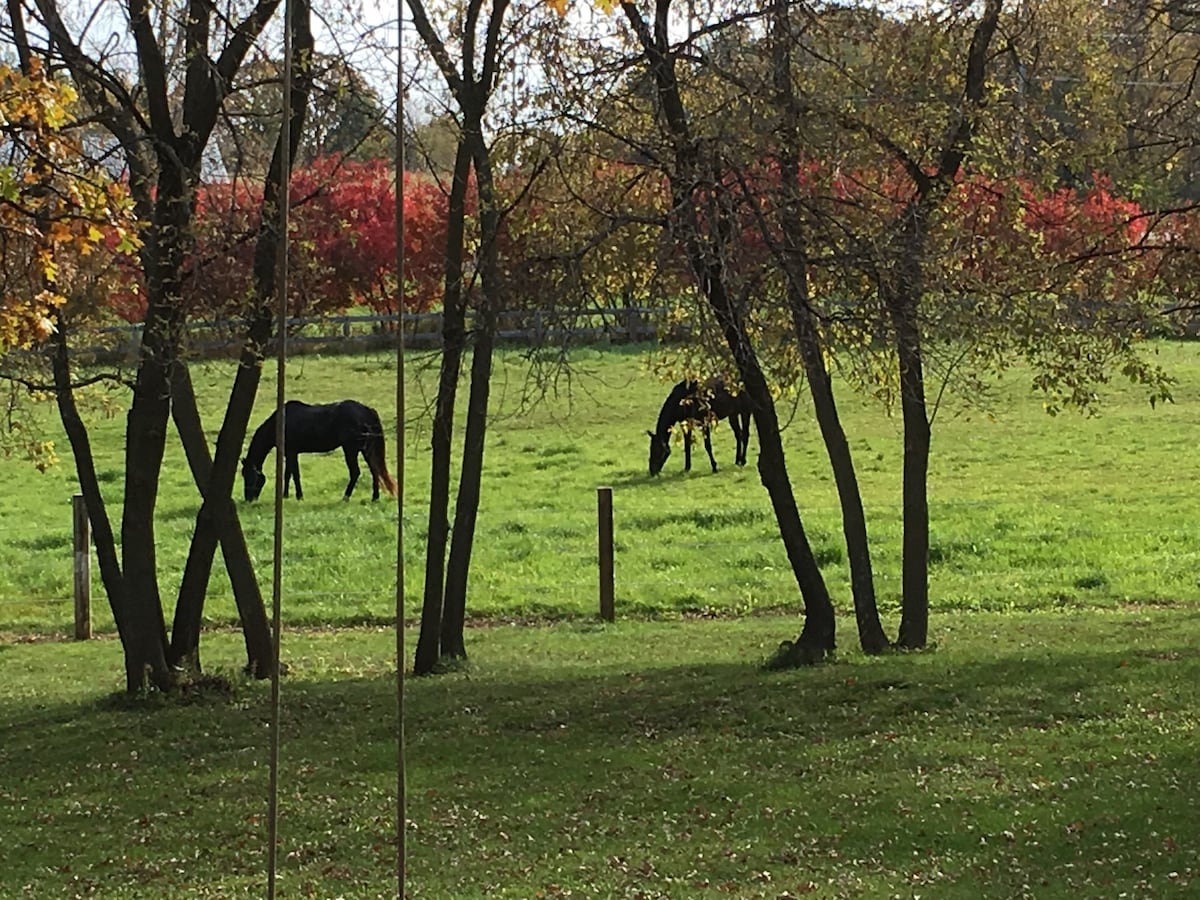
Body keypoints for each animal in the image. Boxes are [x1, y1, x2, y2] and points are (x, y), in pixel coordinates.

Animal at [240, 400, 398, 504]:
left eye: (249, 475)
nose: (248, 499)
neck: (280, 424)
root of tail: (366, 410)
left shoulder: (291, 452)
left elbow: (294, 475)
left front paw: (299, 496)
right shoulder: (290, 453)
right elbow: (288, 474)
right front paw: (286, 496)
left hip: (351, 449)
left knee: (355, 472)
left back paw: (345, 497)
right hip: (365, 450)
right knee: (374, 471)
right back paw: (375, 497)